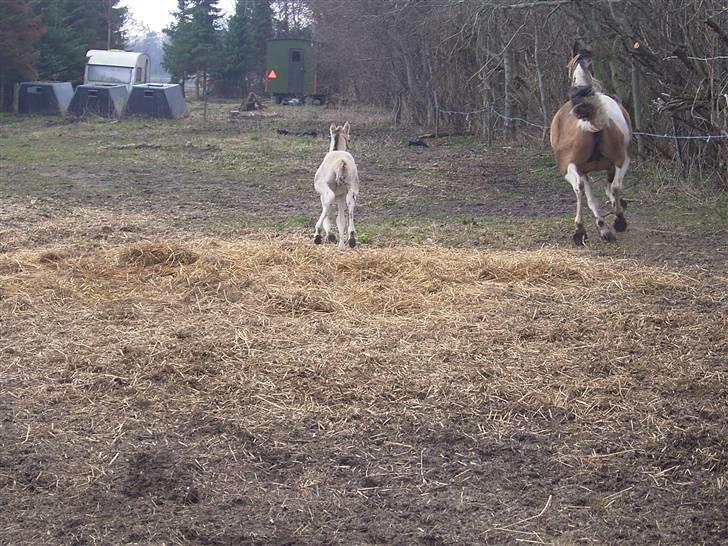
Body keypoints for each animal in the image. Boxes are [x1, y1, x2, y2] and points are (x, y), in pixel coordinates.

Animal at [552, 50, 632, 243]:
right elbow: (608, 190)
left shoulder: (581, 170)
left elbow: (592, 197)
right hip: (621, 160)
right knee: (614, 186)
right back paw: (618, 221)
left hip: (570, 168)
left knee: (580, 189)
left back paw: (581, 230)